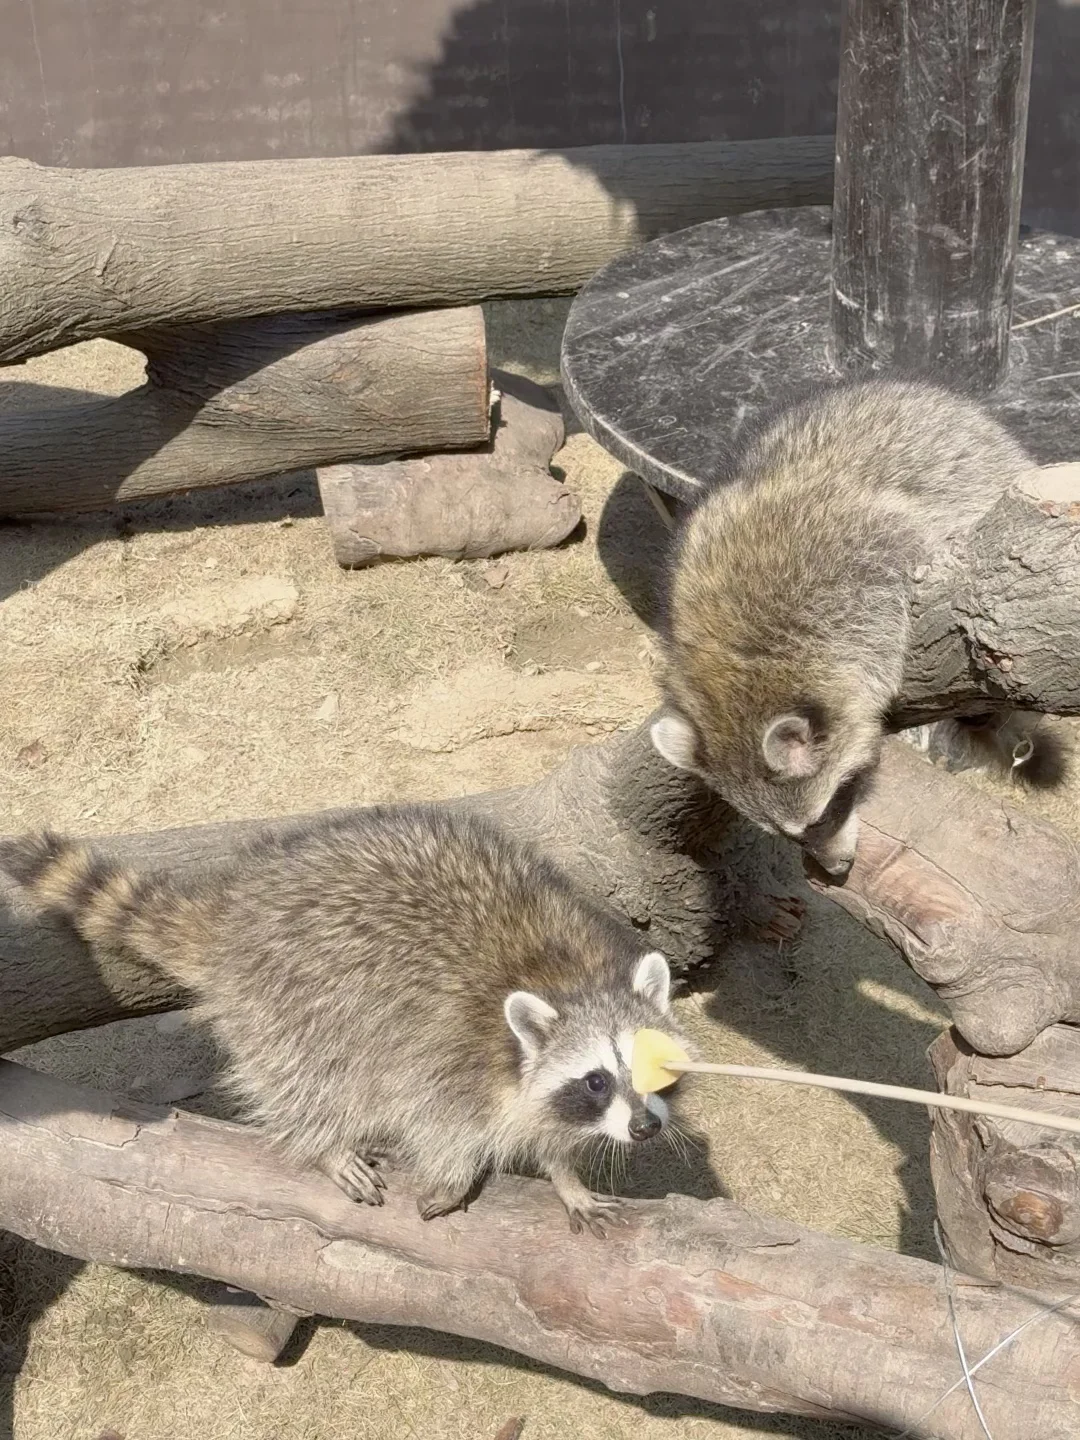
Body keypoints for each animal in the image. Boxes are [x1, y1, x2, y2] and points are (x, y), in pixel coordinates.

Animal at [2, 812, 694, 1238]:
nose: (645, 1128)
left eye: (656, 1069)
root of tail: (236, 913)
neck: (572, 979)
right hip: (294, 996)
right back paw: (325, 1139)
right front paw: (458, 1170)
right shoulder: (446, 1043)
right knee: (306, 1073)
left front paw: (565, 1175)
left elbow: (546, 1129)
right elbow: (439, 1116)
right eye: (597, 1080)